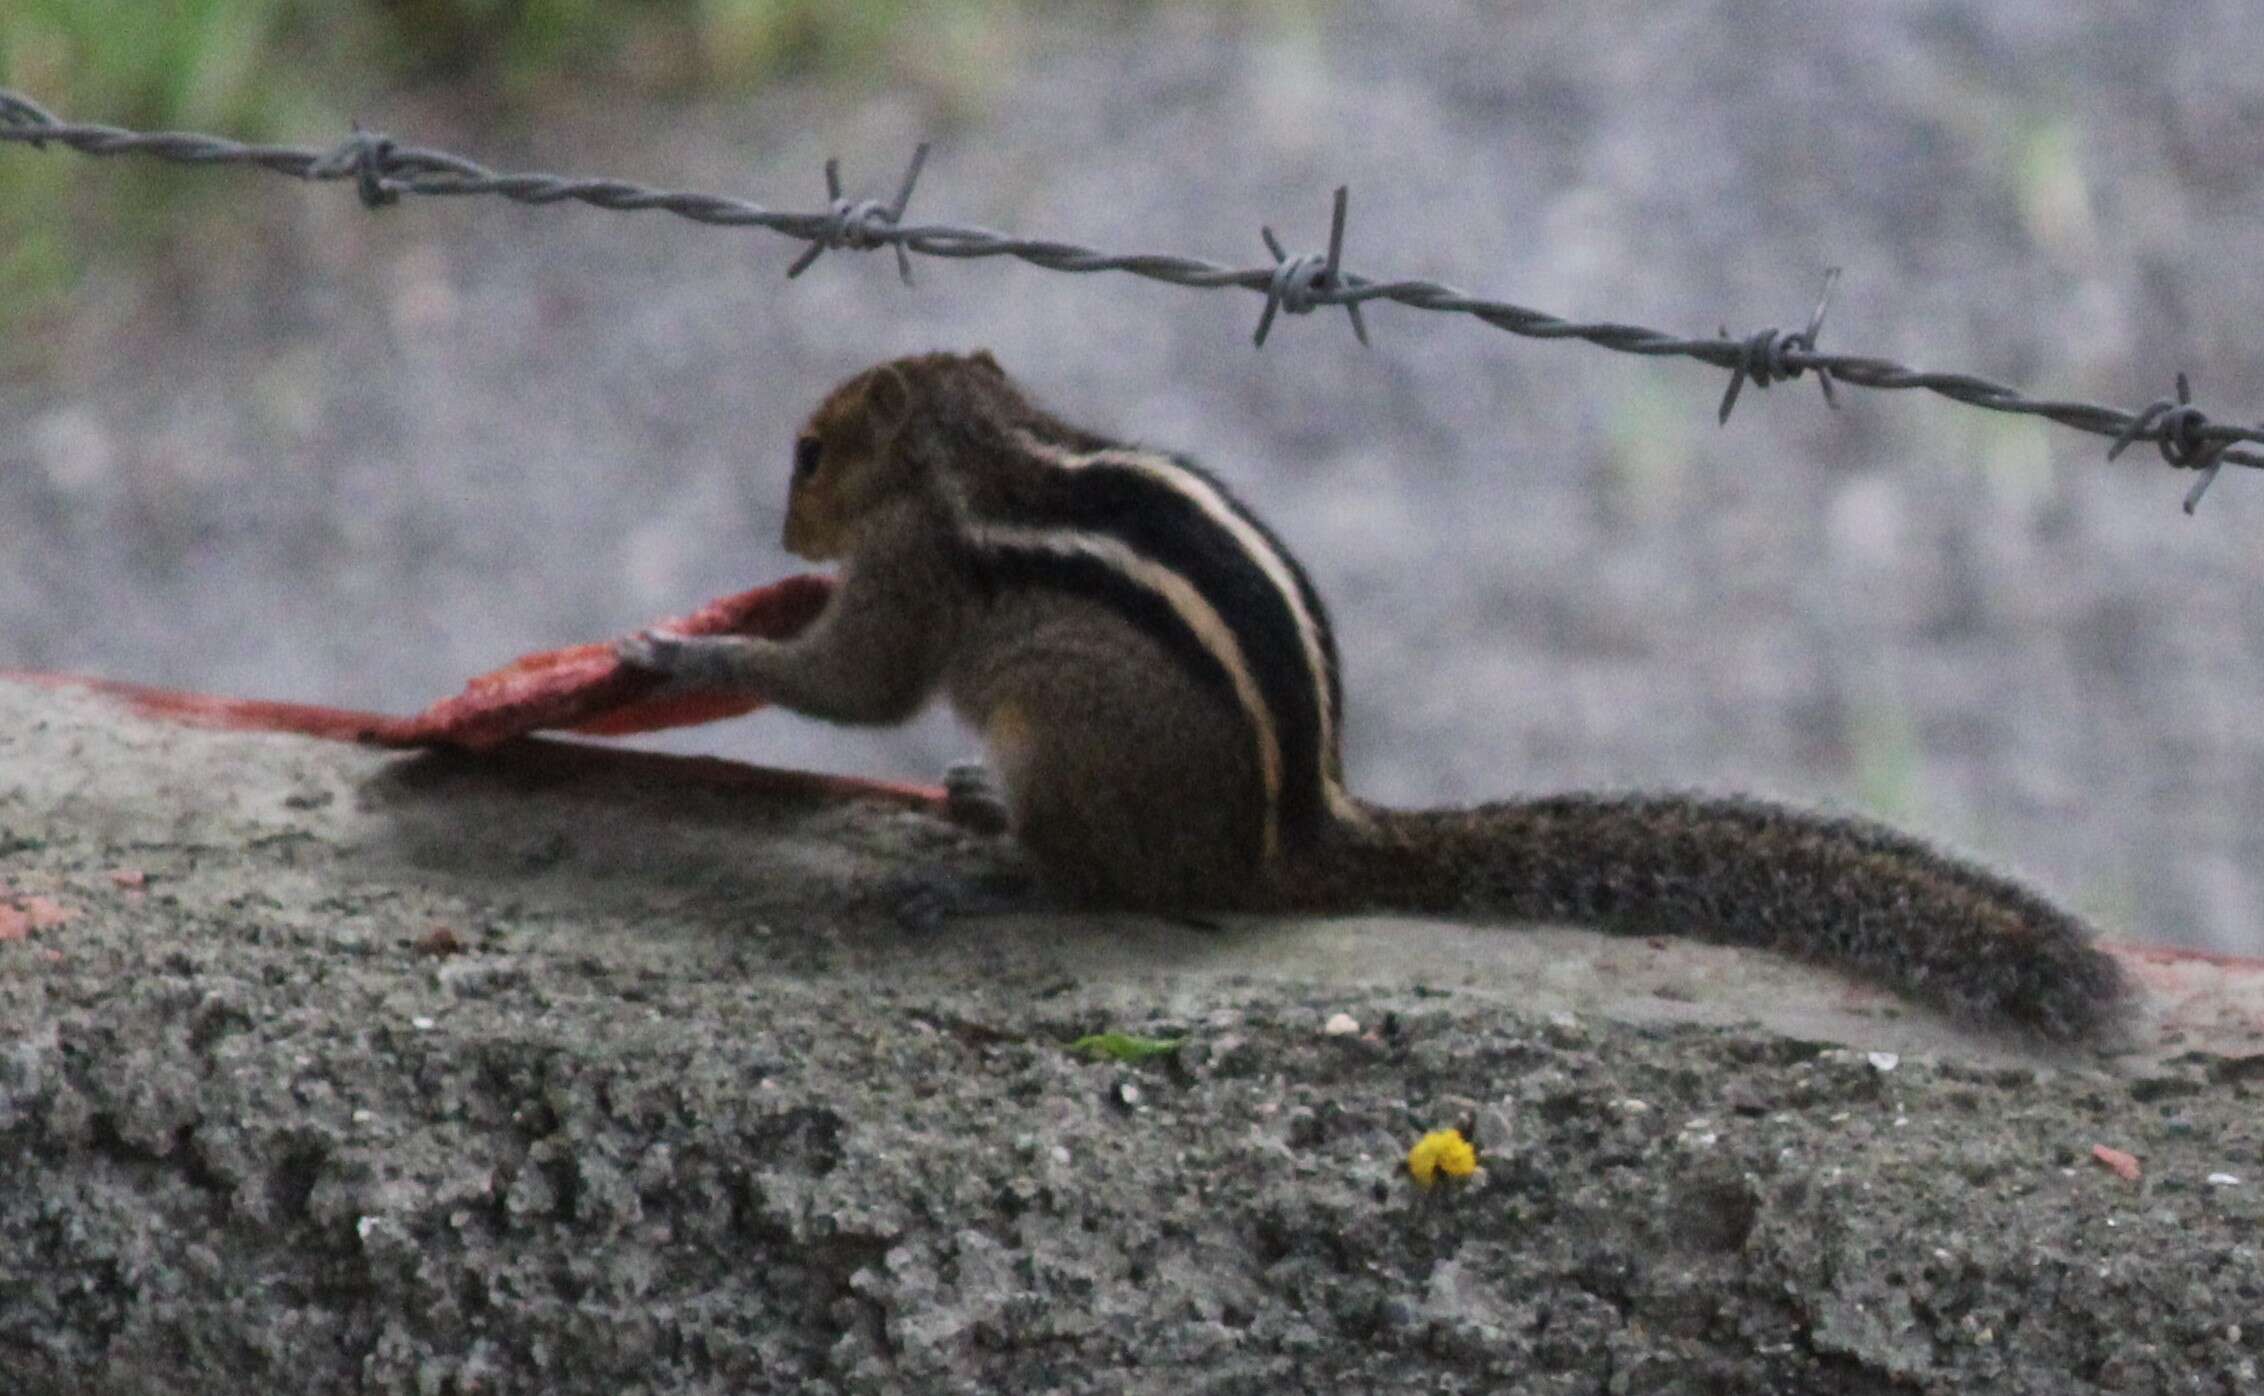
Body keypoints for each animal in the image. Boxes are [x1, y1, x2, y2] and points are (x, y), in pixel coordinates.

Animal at [615, 352, 2119, 1040]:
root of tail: (1297, 836)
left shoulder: (915, 578)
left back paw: (992, 871)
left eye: (810, 453)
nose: (782, 527)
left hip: (1074, 747)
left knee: (1099, 883)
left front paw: (686, 652)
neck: (981, 445)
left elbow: (857, 687)